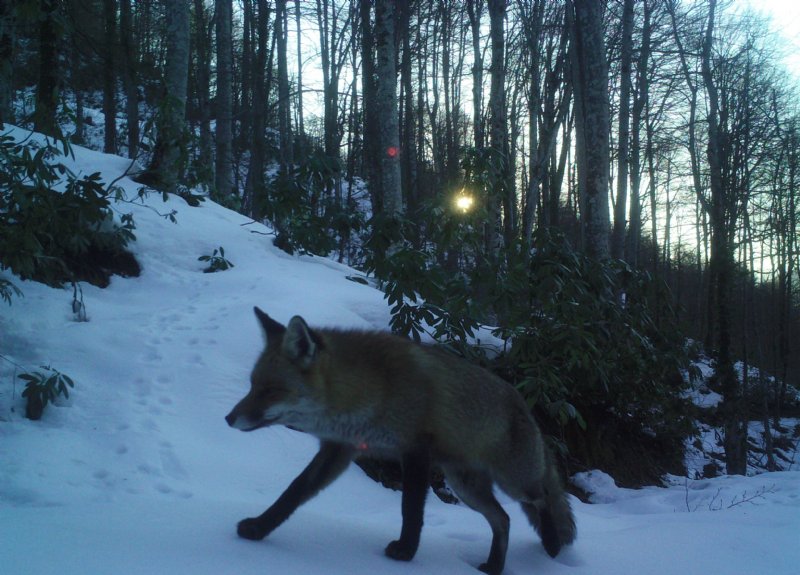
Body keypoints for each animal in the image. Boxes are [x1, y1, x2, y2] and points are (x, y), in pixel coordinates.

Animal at [225, 308, 576, 572]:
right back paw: (493, 567)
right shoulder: (340, 449)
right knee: (503, 519)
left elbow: (411, 509)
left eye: (271, 390)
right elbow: (293, 492)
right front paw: (260, 528)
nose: (228, 418)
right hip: (466, 486)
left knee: (542, 498)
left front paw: (405, 552)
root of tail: (524, 404)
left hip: (513, 481)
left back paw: (551, 543)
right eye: (252, 385)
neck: (368, 391)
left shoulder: (416, 448)